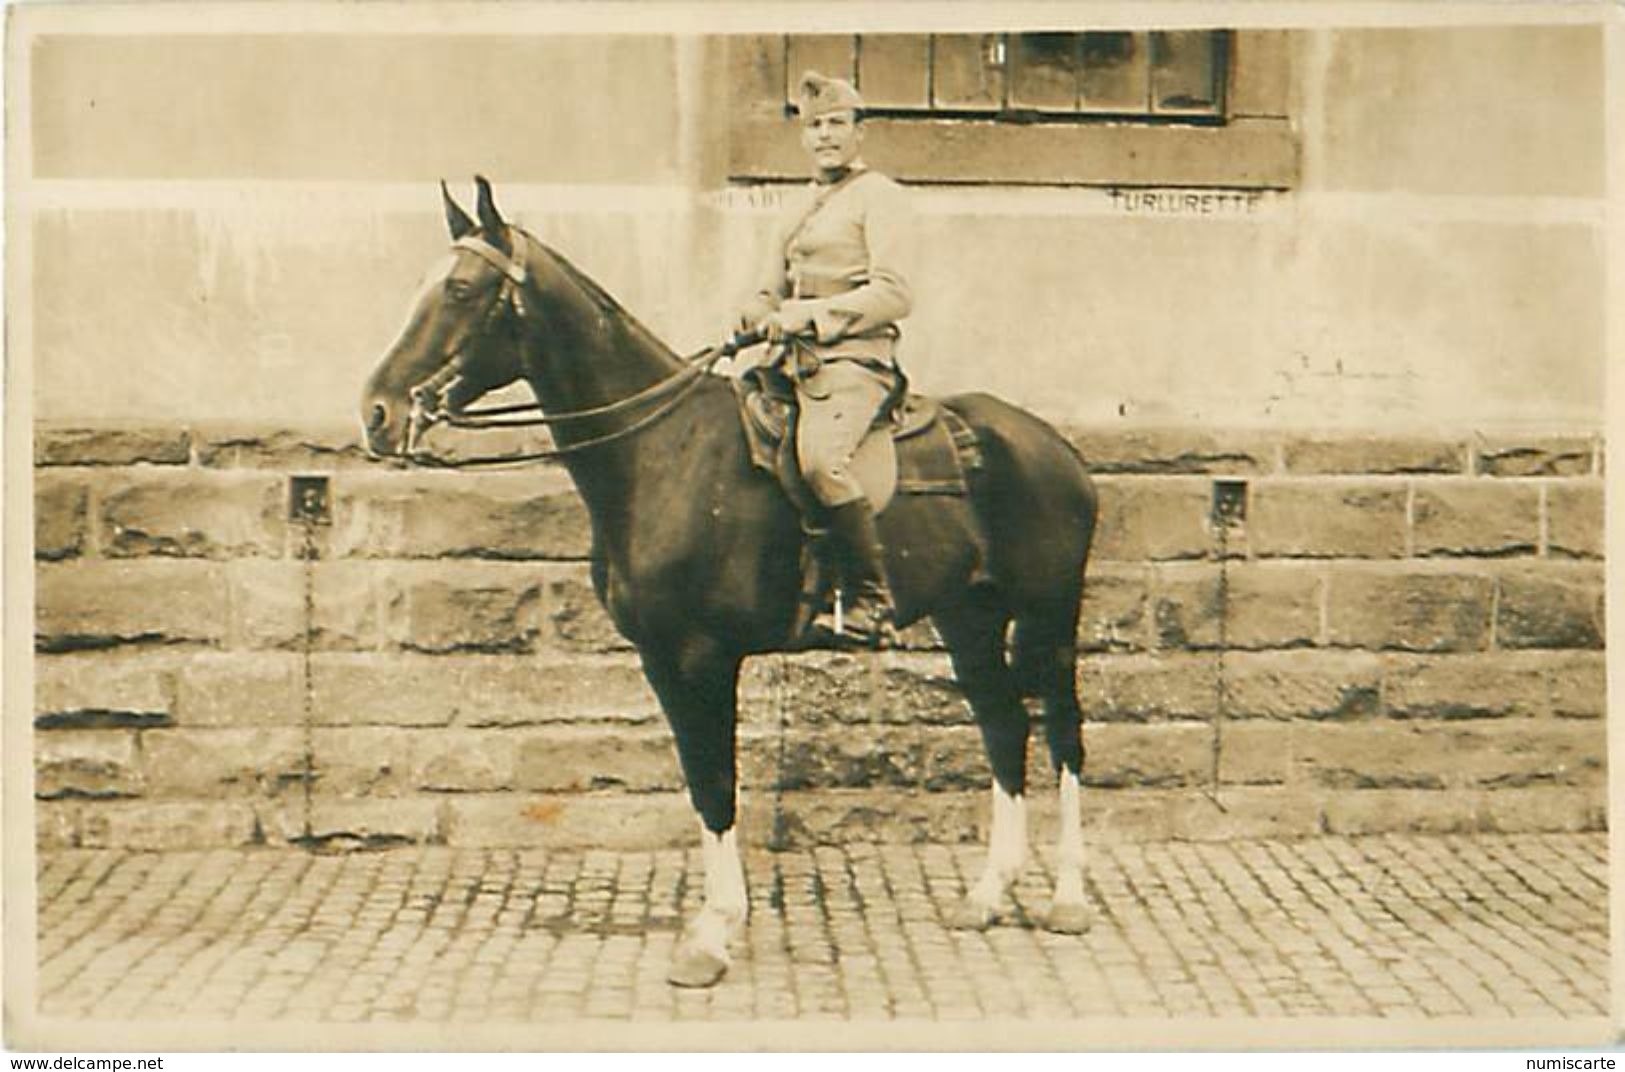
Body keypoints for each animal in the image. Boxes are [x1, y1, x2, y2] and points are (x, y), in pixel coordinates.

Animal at [362, 177, 1098, 987]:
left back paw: (1067, 899)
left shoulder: (702, 657)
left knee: (1062, 735)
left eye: (460, 289)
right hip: (967, 619)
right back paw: (990, 893)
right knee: (1004, 727)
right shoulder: (661, 661)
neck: (665, 452)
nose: (377, 412)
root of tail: (1051, 445)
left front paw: (712, 934)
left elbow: (717, 783)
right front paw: (717, 920)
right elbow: (699, 778)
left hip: (1049, 618)